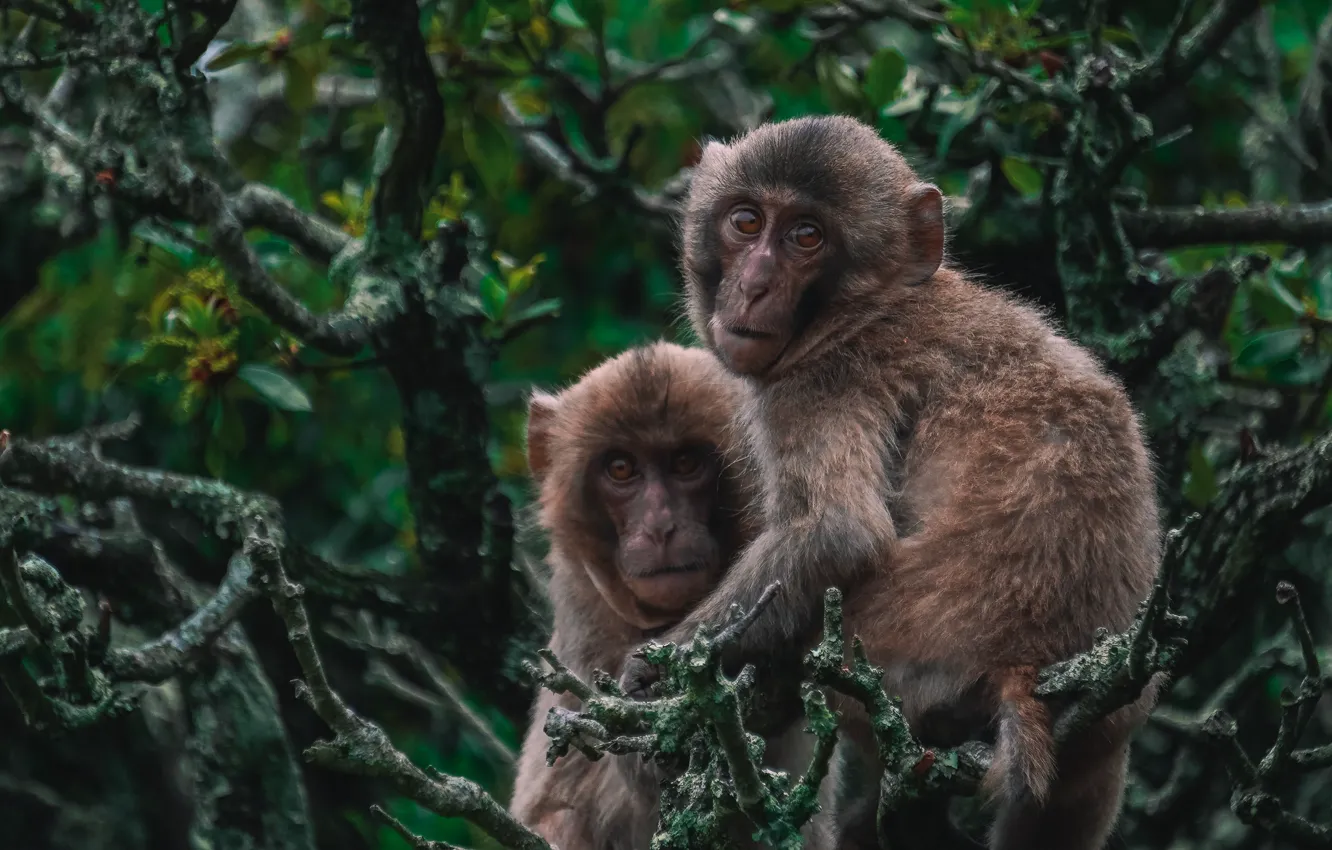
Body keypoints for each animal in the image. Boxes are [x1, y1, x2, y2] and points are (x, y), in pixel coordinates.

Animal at [618, 115, 1162, 850]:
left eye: (807, 236)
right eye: (745, 221)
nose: (754, 285)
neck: (877, 304)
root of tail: (1028, 663)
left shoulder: (821, 383)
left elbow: (839, 533)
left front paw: (654, 674)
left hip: (891, 656)